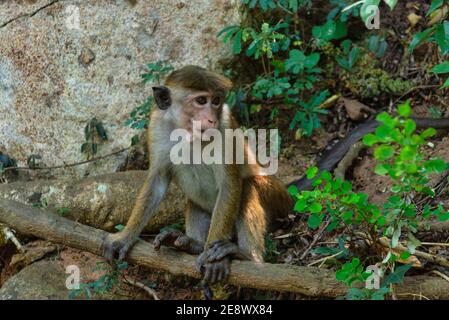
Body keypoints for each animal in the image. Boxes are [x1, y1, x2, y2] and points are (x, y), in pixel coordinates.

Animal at [100, 65, 294, 282]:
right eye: (201, 101)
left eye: (216, 100)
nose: (212, 118)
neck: (188, 132)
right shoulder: (157, 125)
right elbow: (157, 180)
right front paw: (124, 237)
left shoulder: (225, 124)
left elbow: (229, 183)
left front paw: (215, 261)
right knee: (193, 202)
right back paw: (194, 244)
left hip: (278, 201)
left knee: (249, 187)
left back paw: (245, 255)